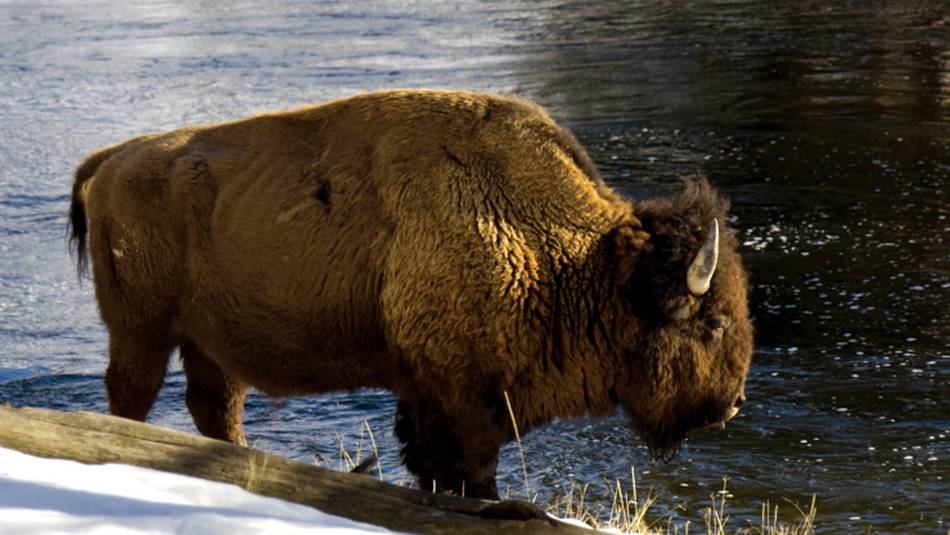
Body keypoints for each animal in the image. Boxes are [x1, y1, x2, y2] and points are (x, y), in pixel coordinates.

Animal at [69, 90, 752, 499]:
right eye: (713, 323)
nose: (732, 404)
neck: (579, 261)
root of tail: (110, 160)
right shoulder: (464, 398)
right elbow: (468, 469)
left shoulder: (431, 392)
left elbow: (435, 464)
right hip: (141, 329)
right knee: (132, 393)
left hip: (209, 339)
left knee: (214, 404)